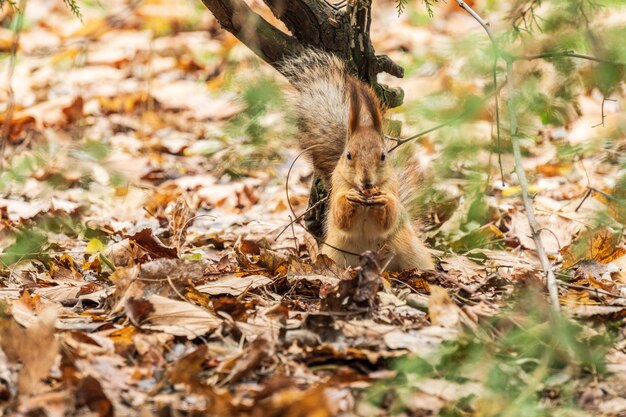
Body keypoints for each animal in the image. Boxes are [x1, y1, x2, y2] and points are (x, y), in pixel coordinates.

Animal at [280, 50, 432, 272]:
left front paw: (384, 200)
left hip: (412, 252)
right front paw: (350, 197)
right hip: (334, 253)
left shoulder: (391, 185)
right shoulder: (337, 185)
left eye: (383, 156)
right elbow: (339, 216)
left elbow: (390, 217)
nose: (367, 182)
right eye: (348, 155)